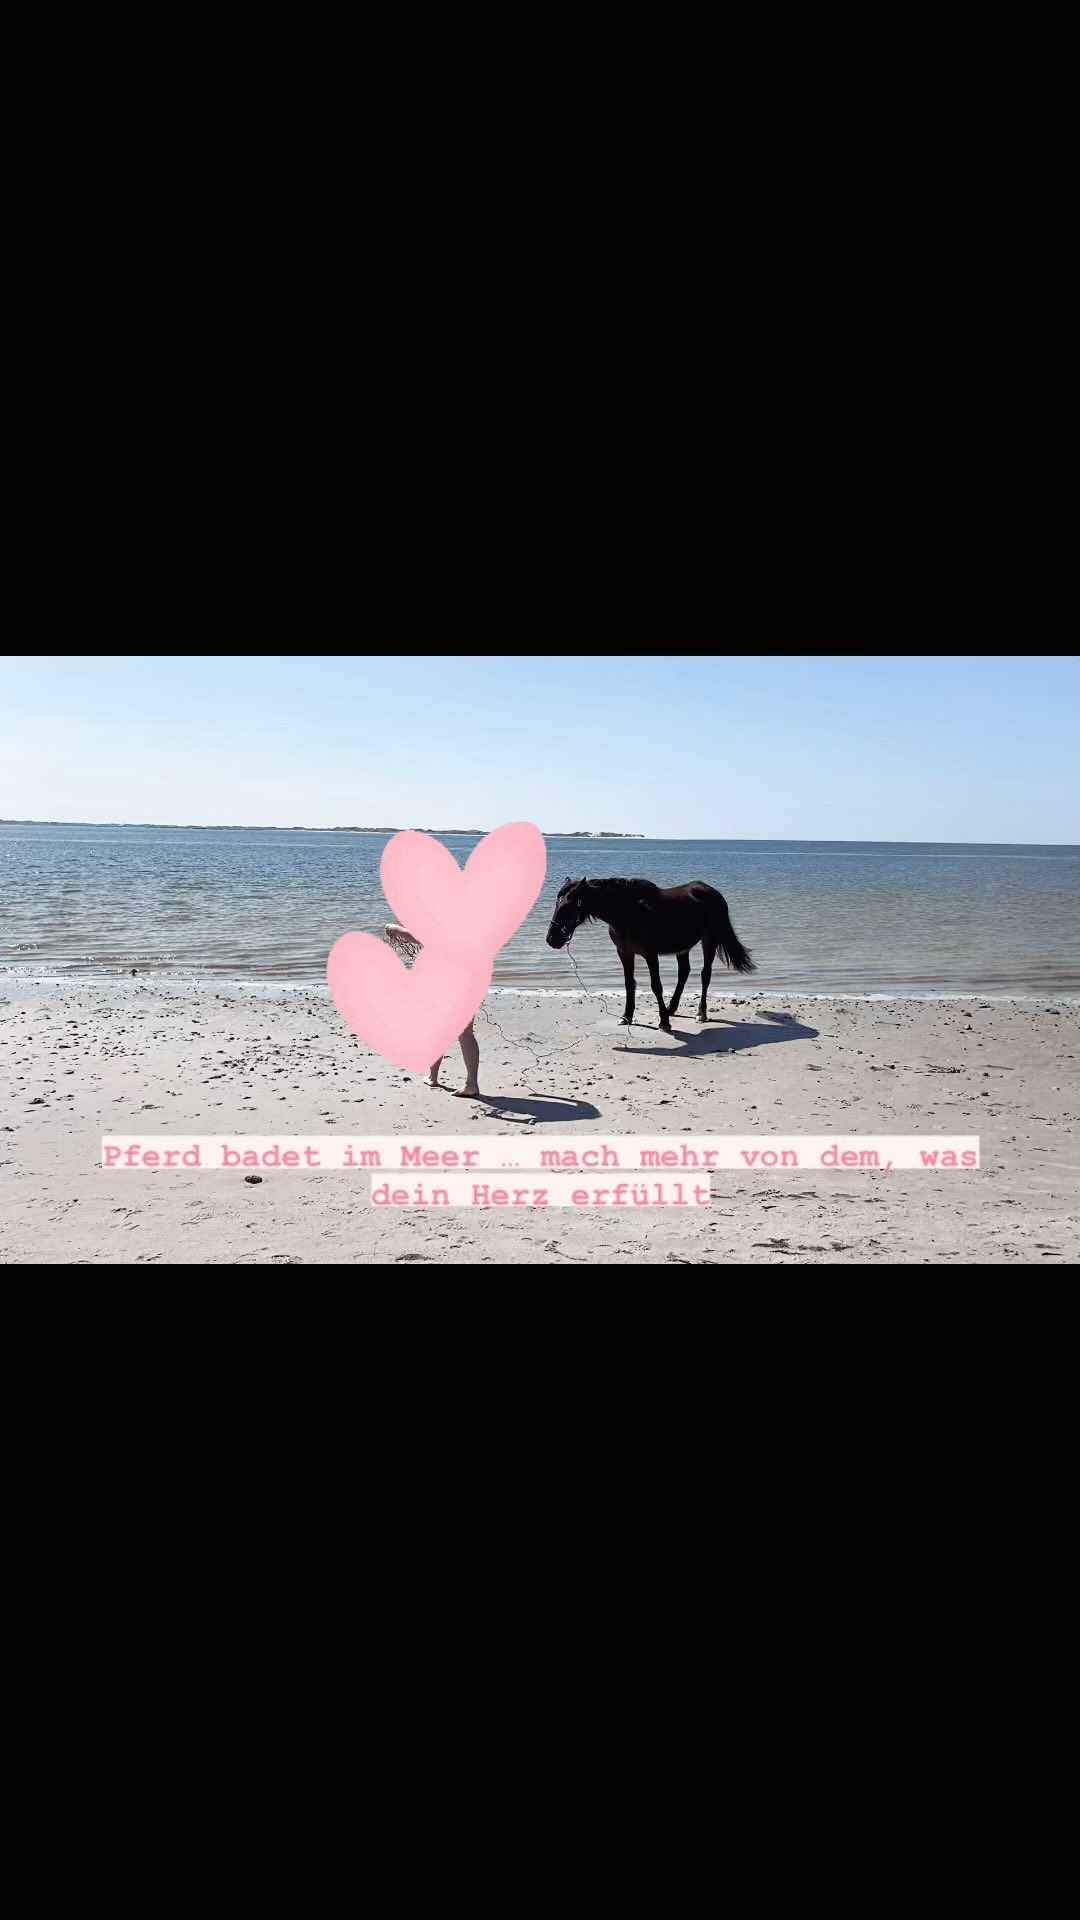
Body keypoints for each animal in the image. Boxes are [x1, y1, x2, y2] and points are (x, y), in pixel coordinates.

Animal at [545, 875, 755, 1032]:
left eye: (568, 906)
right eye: (556, 904)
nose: (551, 939)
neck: (628, 913)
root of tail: (713, 893)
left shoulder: (650, 955)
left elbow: (656, 986)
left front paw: (664, 1022)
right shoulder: (624, 953)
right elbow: (629, 984)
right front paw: (626, 1016)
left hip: (709, 940)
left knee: (705, 975)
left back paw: (700, 1014)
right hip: (683, 947)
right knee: (684, 973)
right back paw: (672, 1008)